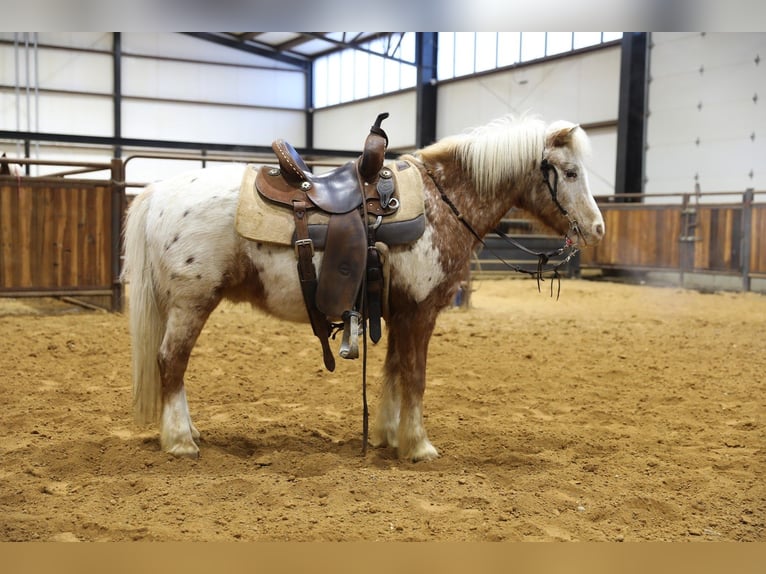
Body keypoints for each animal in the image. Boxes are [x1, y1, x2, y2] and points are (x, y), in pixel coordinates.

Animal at [121, 114, 605, 461]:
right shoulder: (420, 312)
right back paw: (180, 441)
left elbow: (393, 370)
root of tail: (158, 190)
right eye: (569, 172)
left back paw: (187, 431)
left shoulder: (396, 310)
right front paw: (418, 445)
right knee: (171, 361)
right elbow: (415, 375)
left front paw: (389, 436)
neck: (440, 203)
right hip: (192, 303)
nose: (597, 229)